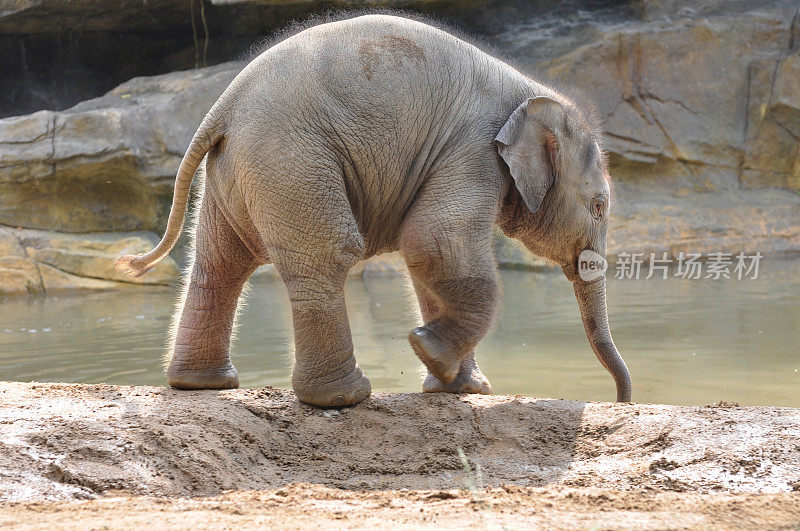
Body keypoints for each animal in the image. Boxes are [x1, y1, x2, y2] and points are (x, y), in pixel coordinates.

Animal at [117, 13, 632, 408]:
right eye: (599, 207)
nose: (621, 400)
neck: (530, 92)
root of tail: (222, 106)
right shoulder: (472, 149)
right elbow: (434, 242)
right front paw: (428, 351)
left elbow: (427, 257)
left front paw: (458, 387)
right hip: (291, 162)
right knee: (325, 256)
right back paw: (343, 398)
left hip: (236, 170)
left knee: (219, 263)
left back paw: (201, 385)